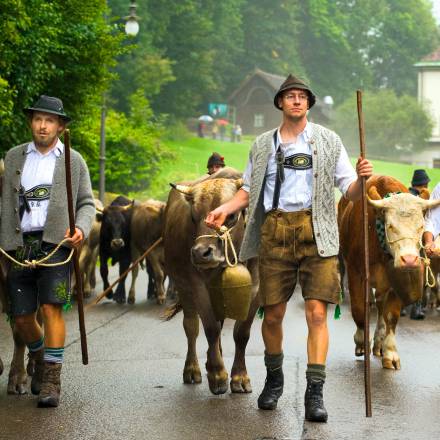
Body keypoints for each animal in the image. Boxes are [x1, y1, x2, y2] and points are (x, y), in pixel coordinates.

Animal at [164, 169, 262, 396]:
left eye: (232, 215)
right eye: (193, 216)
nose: (201, 253)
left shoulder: (256, 289)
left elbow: (241, 333)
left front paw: (239, 377)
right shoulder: (197, 285)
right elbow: (210, 328)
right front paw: (218, 375)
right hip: (182, 285)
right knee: (191, 326)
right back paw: (193, 369)